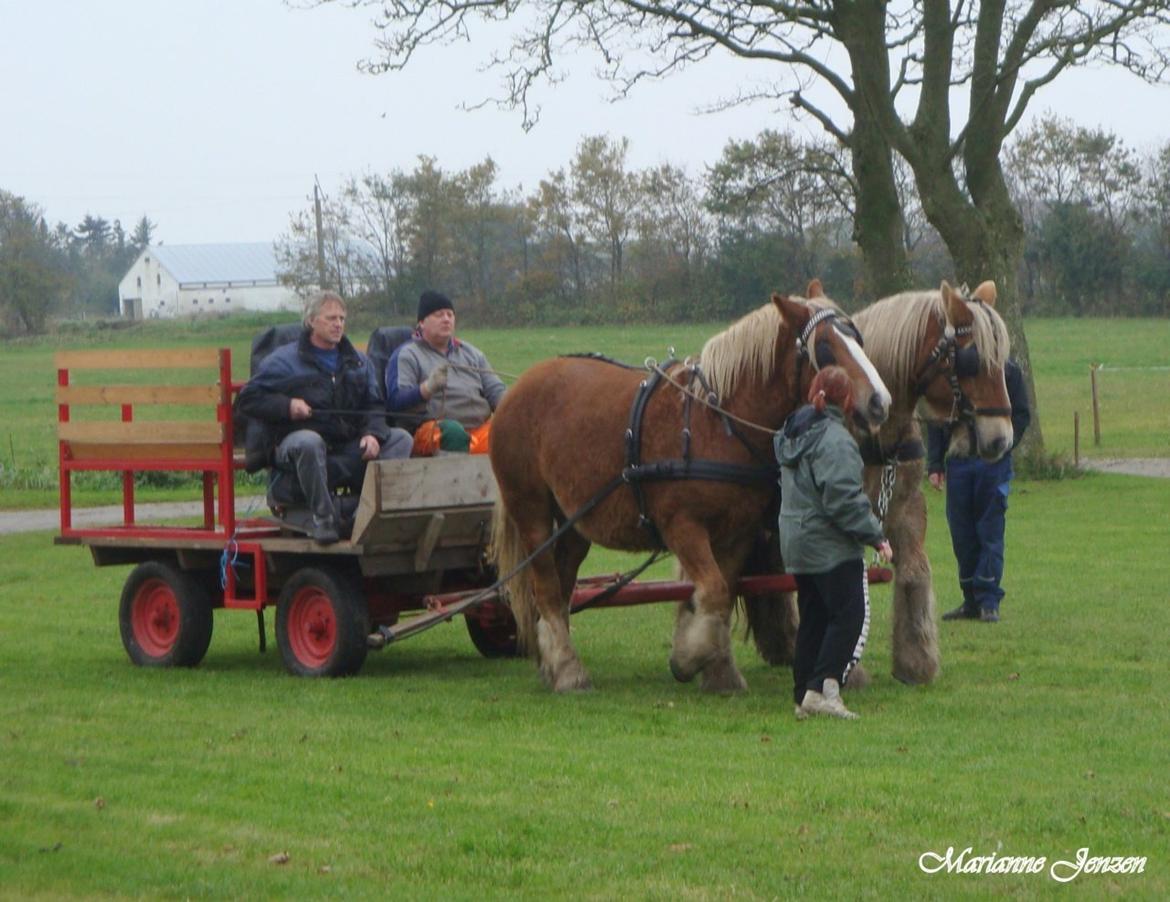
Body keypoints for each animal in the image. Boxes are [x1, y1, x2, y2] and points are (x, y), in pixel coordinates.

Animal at [489, 285, 889, 697]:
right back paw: (568, 670)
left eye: (857, 338)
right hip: (532, 511)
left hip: (574, 522)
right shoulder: (682, 527)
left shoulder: (736, 535)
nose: (879, 402)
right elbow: (711, 590)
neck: (716, 422)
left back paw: (553, 662)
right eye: (825, 346)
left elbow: (723, 593)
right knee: (547, 589)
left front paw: (719, 672)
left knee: (563, 584)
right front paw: (690, 657)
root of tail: (519, 387)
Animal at [748, 280, 1015, 683]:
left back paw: (780, 642)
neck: (876, 435)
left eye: (1004, 362)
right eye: (972, 360)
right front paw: (850, 669)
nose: (1001, 439)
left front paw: (916, 659)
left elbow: (914, 572)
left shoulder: (906, 506)